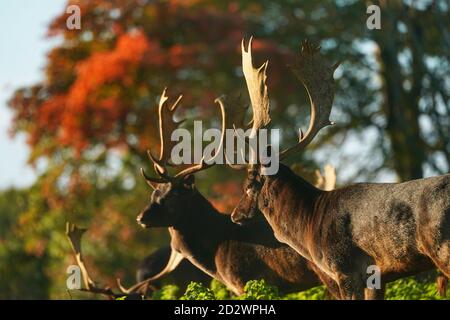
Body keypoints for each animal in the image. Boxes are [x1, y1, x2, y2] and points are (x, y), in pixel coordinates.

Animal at [230, 38, 448, 300]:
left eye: (249, 184)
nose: (235, 215)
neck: (309, 223)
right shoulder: (376, 278)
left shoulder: (345, 269)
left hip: (442, 246)